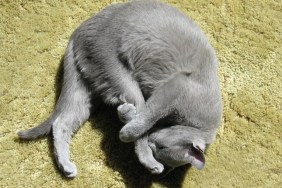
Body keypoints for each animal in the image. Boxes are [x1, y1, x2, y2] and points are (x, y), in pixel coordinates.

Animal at [18, 1, 223, 178]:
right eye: (161, 148)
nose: (152, 145)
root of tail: (80, 30)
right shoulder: (174, 88)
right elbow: (146, 120)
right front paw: (127, 128)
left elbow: (144, 120)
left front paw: (126, 116)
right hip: (118, 71)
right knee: (136, 111)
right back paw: (147, 159)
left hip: (87, 87)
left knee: (61, 123)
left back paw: (67, 167)